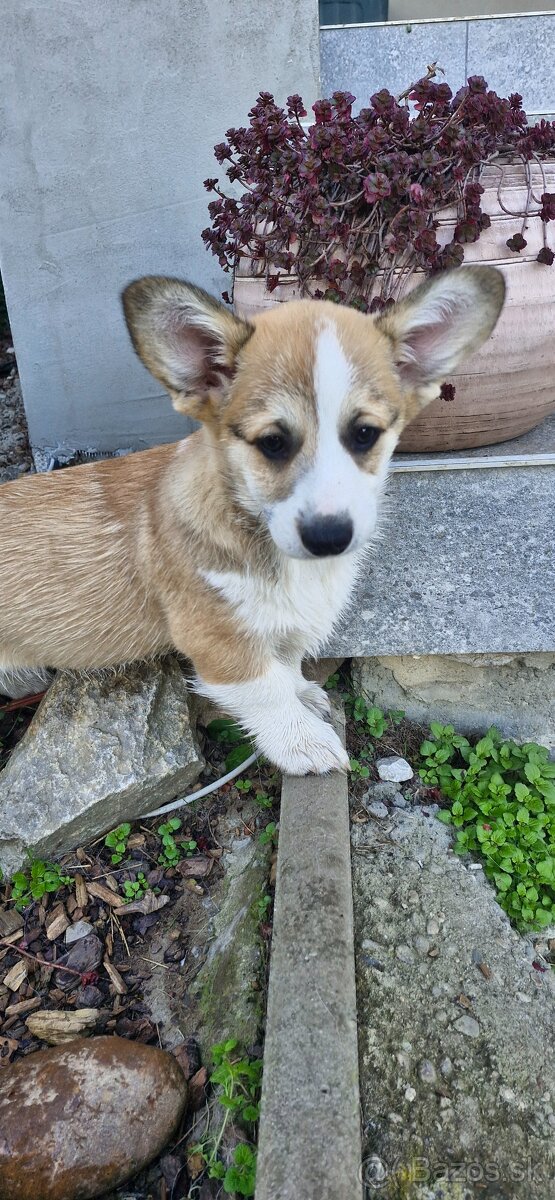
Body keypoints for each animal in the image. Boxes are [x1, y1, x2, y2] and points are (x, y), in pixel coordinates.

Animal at [0, 267, 504, 772]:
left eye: (365, 434)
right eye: (273, 443)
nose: (329, 537)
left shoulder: (283, 624)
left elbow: (288, 665)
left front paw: (305, 694)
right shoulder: (219, 642)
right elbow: (268, 691)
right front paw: (305, 741)